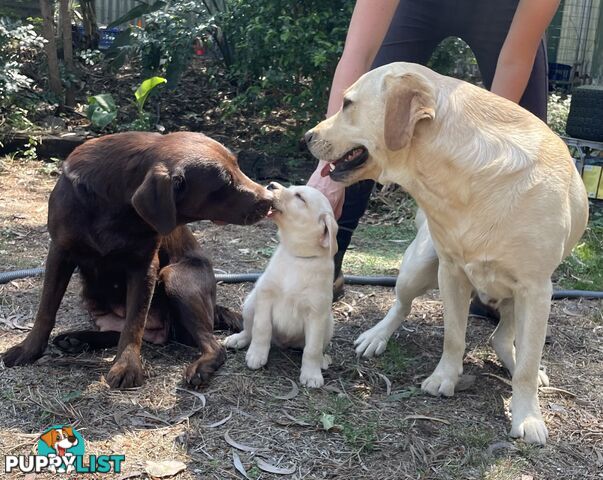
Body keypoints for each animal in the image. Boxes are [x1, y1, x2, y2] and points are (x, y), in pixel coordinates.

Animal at [225, 182, 340, 388]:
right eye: (292, 187)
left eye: (300, 197)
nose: (271, 185)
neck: (298, 258)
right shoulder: (265, 296)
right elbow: (261, 328)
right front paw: (257, 355)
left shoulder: (317, 313)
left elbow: (312, 348)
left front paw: (312, 374)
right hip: (250, 304)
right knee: (249, 329)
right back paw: (239, 339)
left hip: (329, 323)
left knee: (315, 347)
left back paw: (322, 360)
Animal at [304, 62, 588, 444]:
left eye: (347, 104)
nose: (307, 136)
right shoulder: (451, 272)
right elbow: (454, 337)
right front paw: (444, 378)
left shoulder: (536, 289)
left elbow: (527, 366)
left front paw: (527, 416)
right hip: (418, 268)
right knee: (401, 305)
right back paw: (376, 335)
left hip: (522, 299)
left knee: (504, 339)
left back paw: (514, 360)